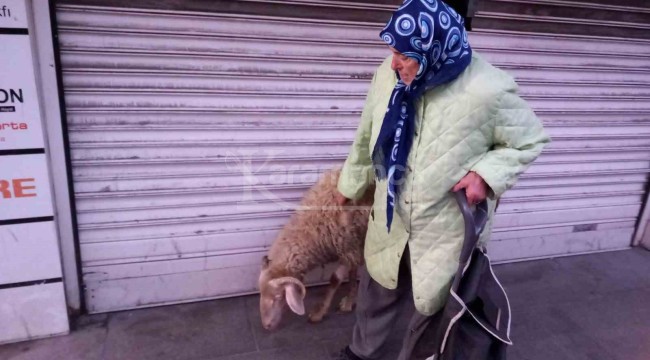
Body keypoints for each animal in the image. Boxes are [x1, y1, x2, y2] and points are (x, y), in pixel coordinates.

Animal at [256, 167, 372, 330]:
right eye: (260, 292)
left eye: (278, 296)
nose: (266, 325)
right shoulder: (352, 245)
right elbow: (352, 272)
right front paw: (350, 300)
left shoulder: (349, 246)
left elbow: (335, 279)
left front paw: (320, 312)